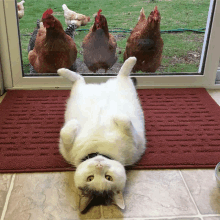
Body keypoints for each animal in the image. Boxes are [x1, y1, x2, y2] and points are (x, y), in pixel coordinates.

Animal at [57, 56, 146, 211]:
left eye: (108, 177)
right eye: (90, 178)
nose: (99, 165)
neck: (98, 150)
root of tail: (102, 86)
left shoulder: (135, 140)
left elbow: (125, 121)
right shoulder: (65, 148)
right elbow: (66, 135)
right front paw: (74, 124)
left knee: (117, 74)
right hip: (84, 90)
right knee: (82, 79)